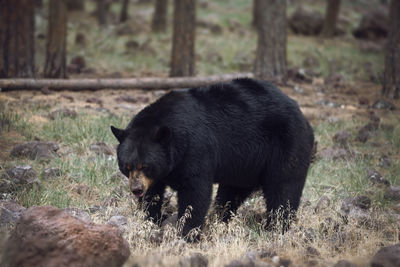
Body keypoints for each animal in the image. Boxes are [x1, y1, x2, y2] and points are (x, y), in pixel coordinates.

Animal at [111, 78, 314, 239]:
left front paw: (188, 232)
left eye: (145, 166)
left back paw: (276, 226)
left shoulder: (195, 149)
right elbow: (153, 193)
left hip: (286, 144)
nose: (136, 189)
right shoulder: (161, 170)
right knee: (231, 193)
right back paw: (221, 219)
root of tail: (303, 117)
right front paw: (152, 219)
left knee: (283, 186)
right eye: (126, 166)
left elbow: (195, 191)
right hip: (245, 165)